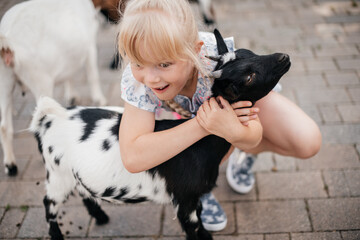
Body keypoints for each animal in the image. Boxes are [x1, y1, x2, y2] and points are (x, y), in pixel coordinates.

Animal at [0, 0, 107, 175]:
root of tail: (8, 40)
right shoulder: (90, 45)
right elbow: (93, 74)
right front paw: (100, 100)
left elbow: (69, 75)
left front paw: (72, 96)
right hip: (41, 81)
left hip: (4, 82)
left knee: (4, 126)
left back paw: (11, 165)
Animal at [29, 30, 292, 240]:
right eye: (248, 77)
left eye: (250, 52)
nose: (284, 57)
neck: (200, 147)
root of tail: (51, 116)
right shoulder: (184, 200)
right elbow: (194, 229)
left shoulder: (195, 198)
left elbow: (202, 222)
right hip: (57, 174)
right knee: (49, 204)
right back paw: (58, 235)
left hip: (72, 174)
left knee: (83, 191)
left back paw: (101, 216)